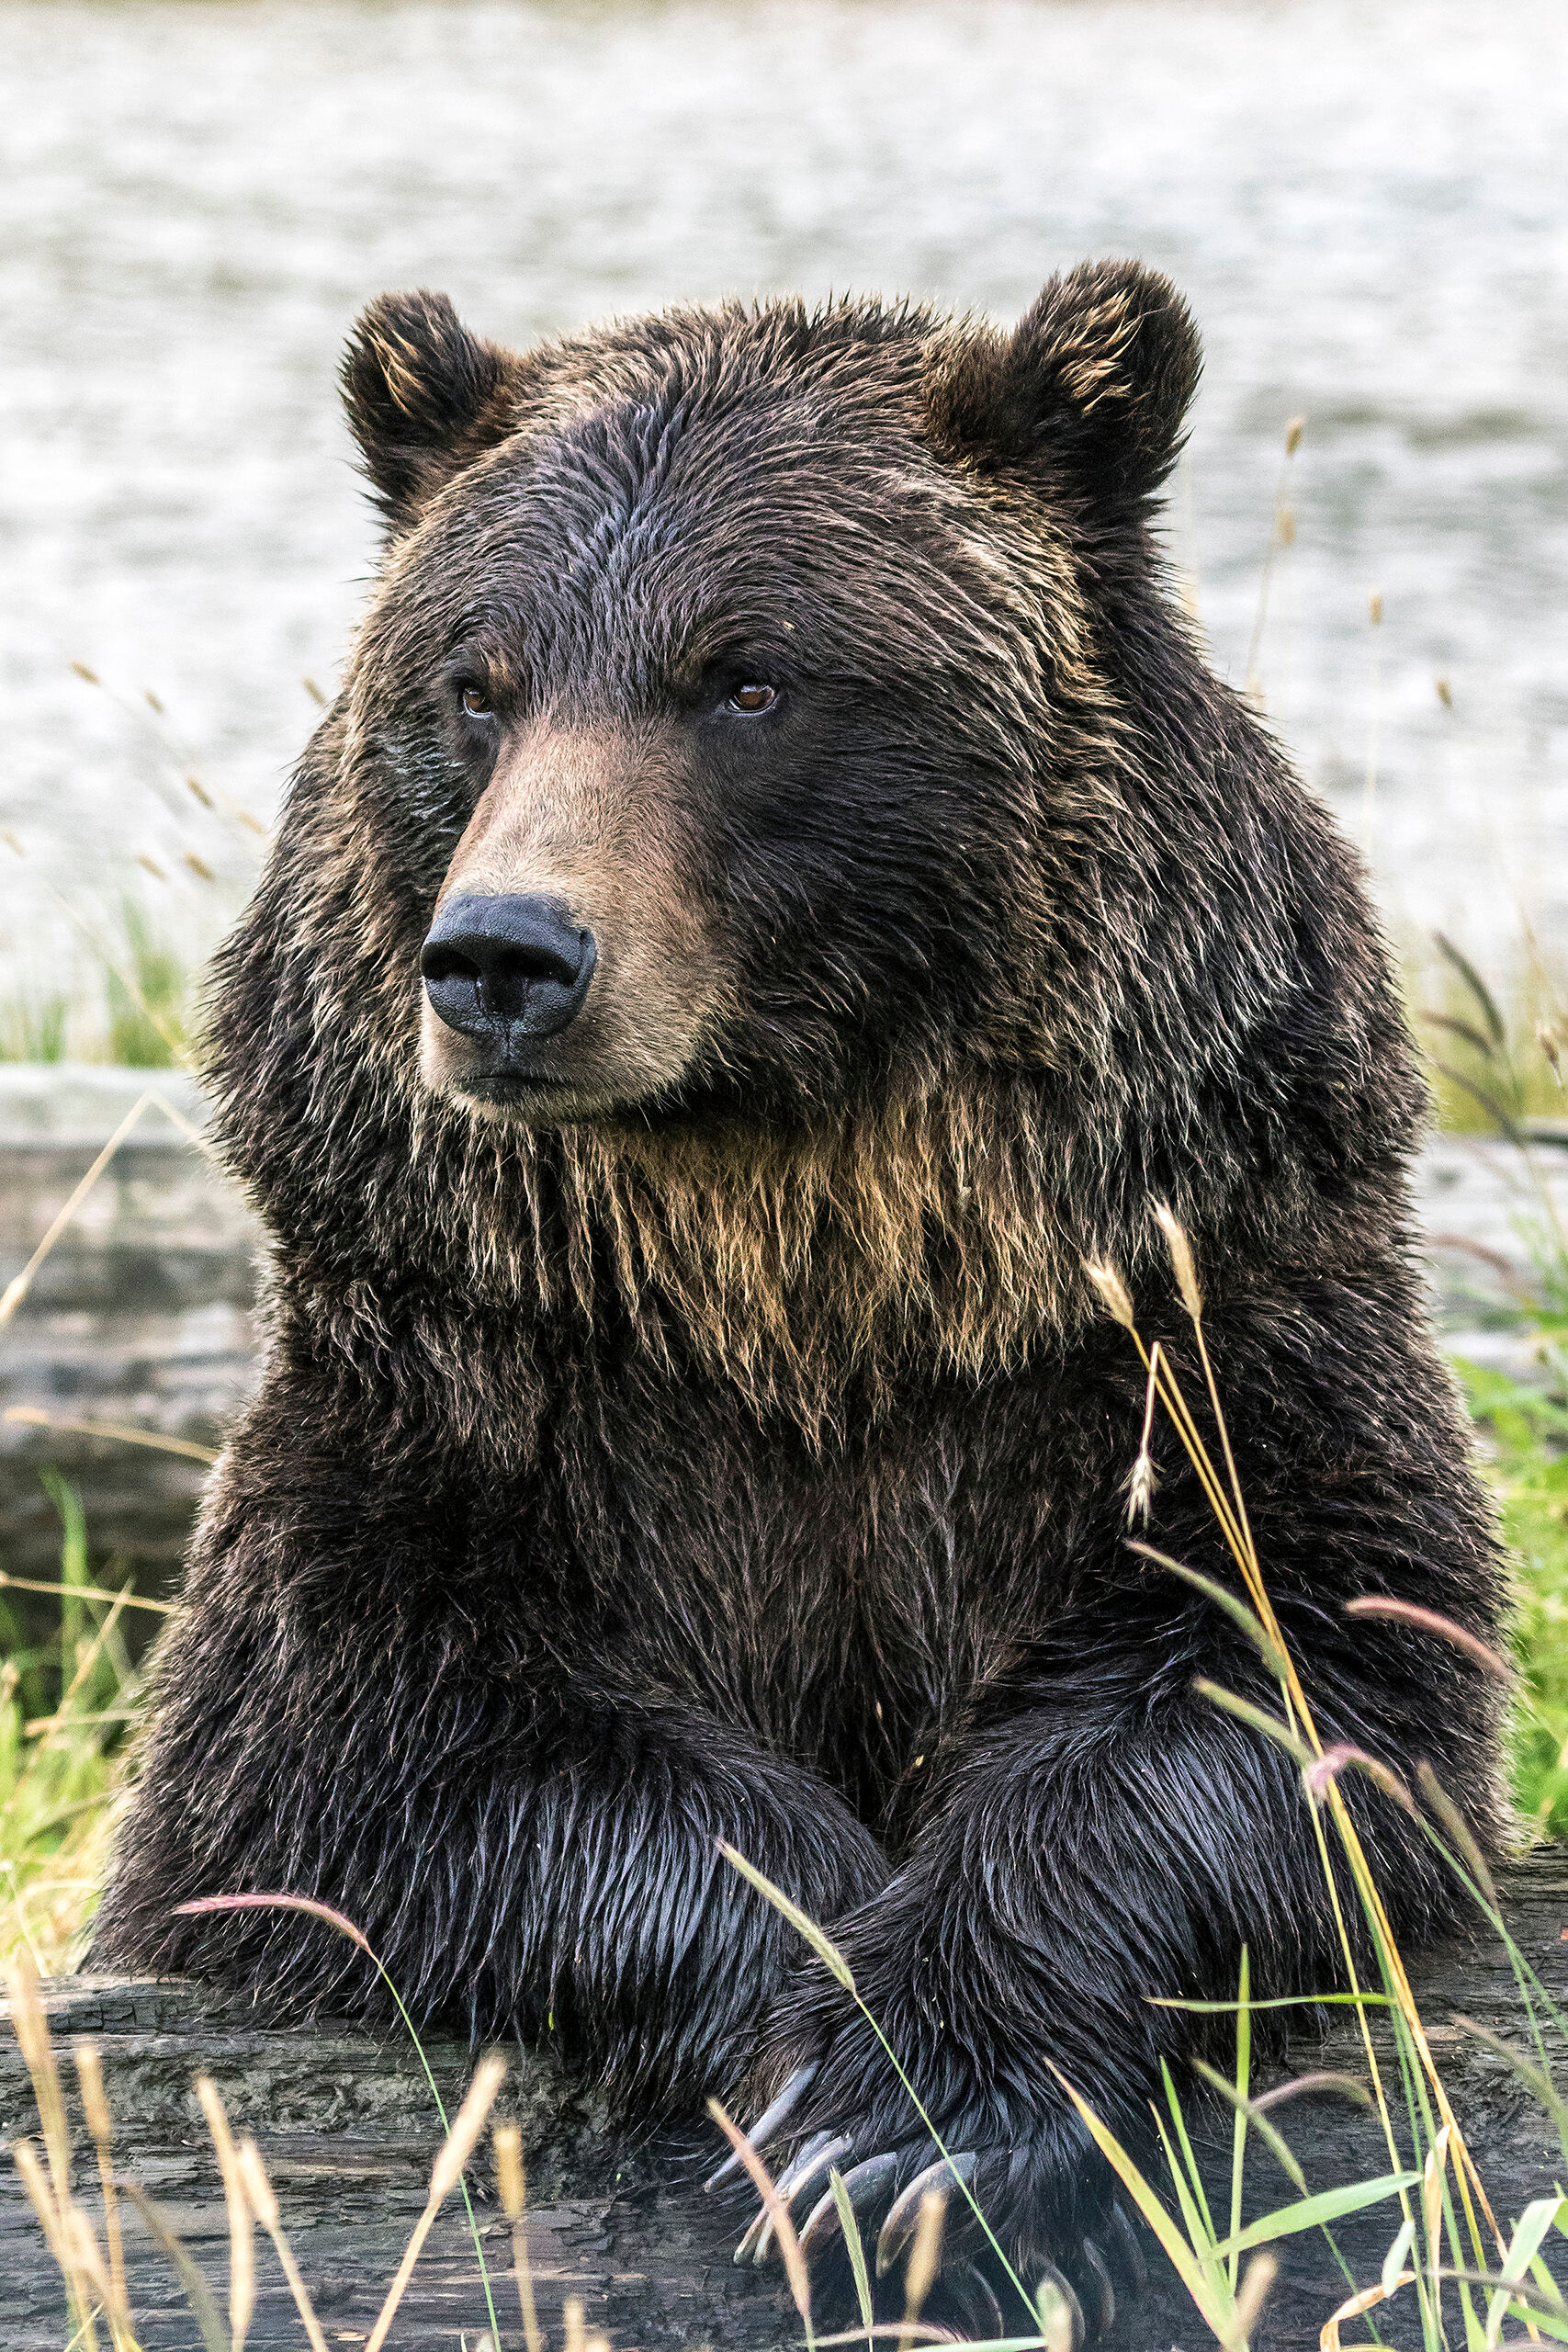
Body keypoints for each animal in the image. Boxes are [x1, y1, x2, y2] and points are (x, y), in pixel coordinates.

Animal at [93, 261, 1508, 2337]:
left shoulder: (1176, 1315)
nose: (504, 957)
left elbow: (1294, 1661)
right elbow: (362, 1740)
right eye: (472, 682)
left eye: (746, 674)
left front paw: (913, 2111)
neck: (799, 1271)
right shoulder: (469, 1367)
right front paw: (822, 2041)